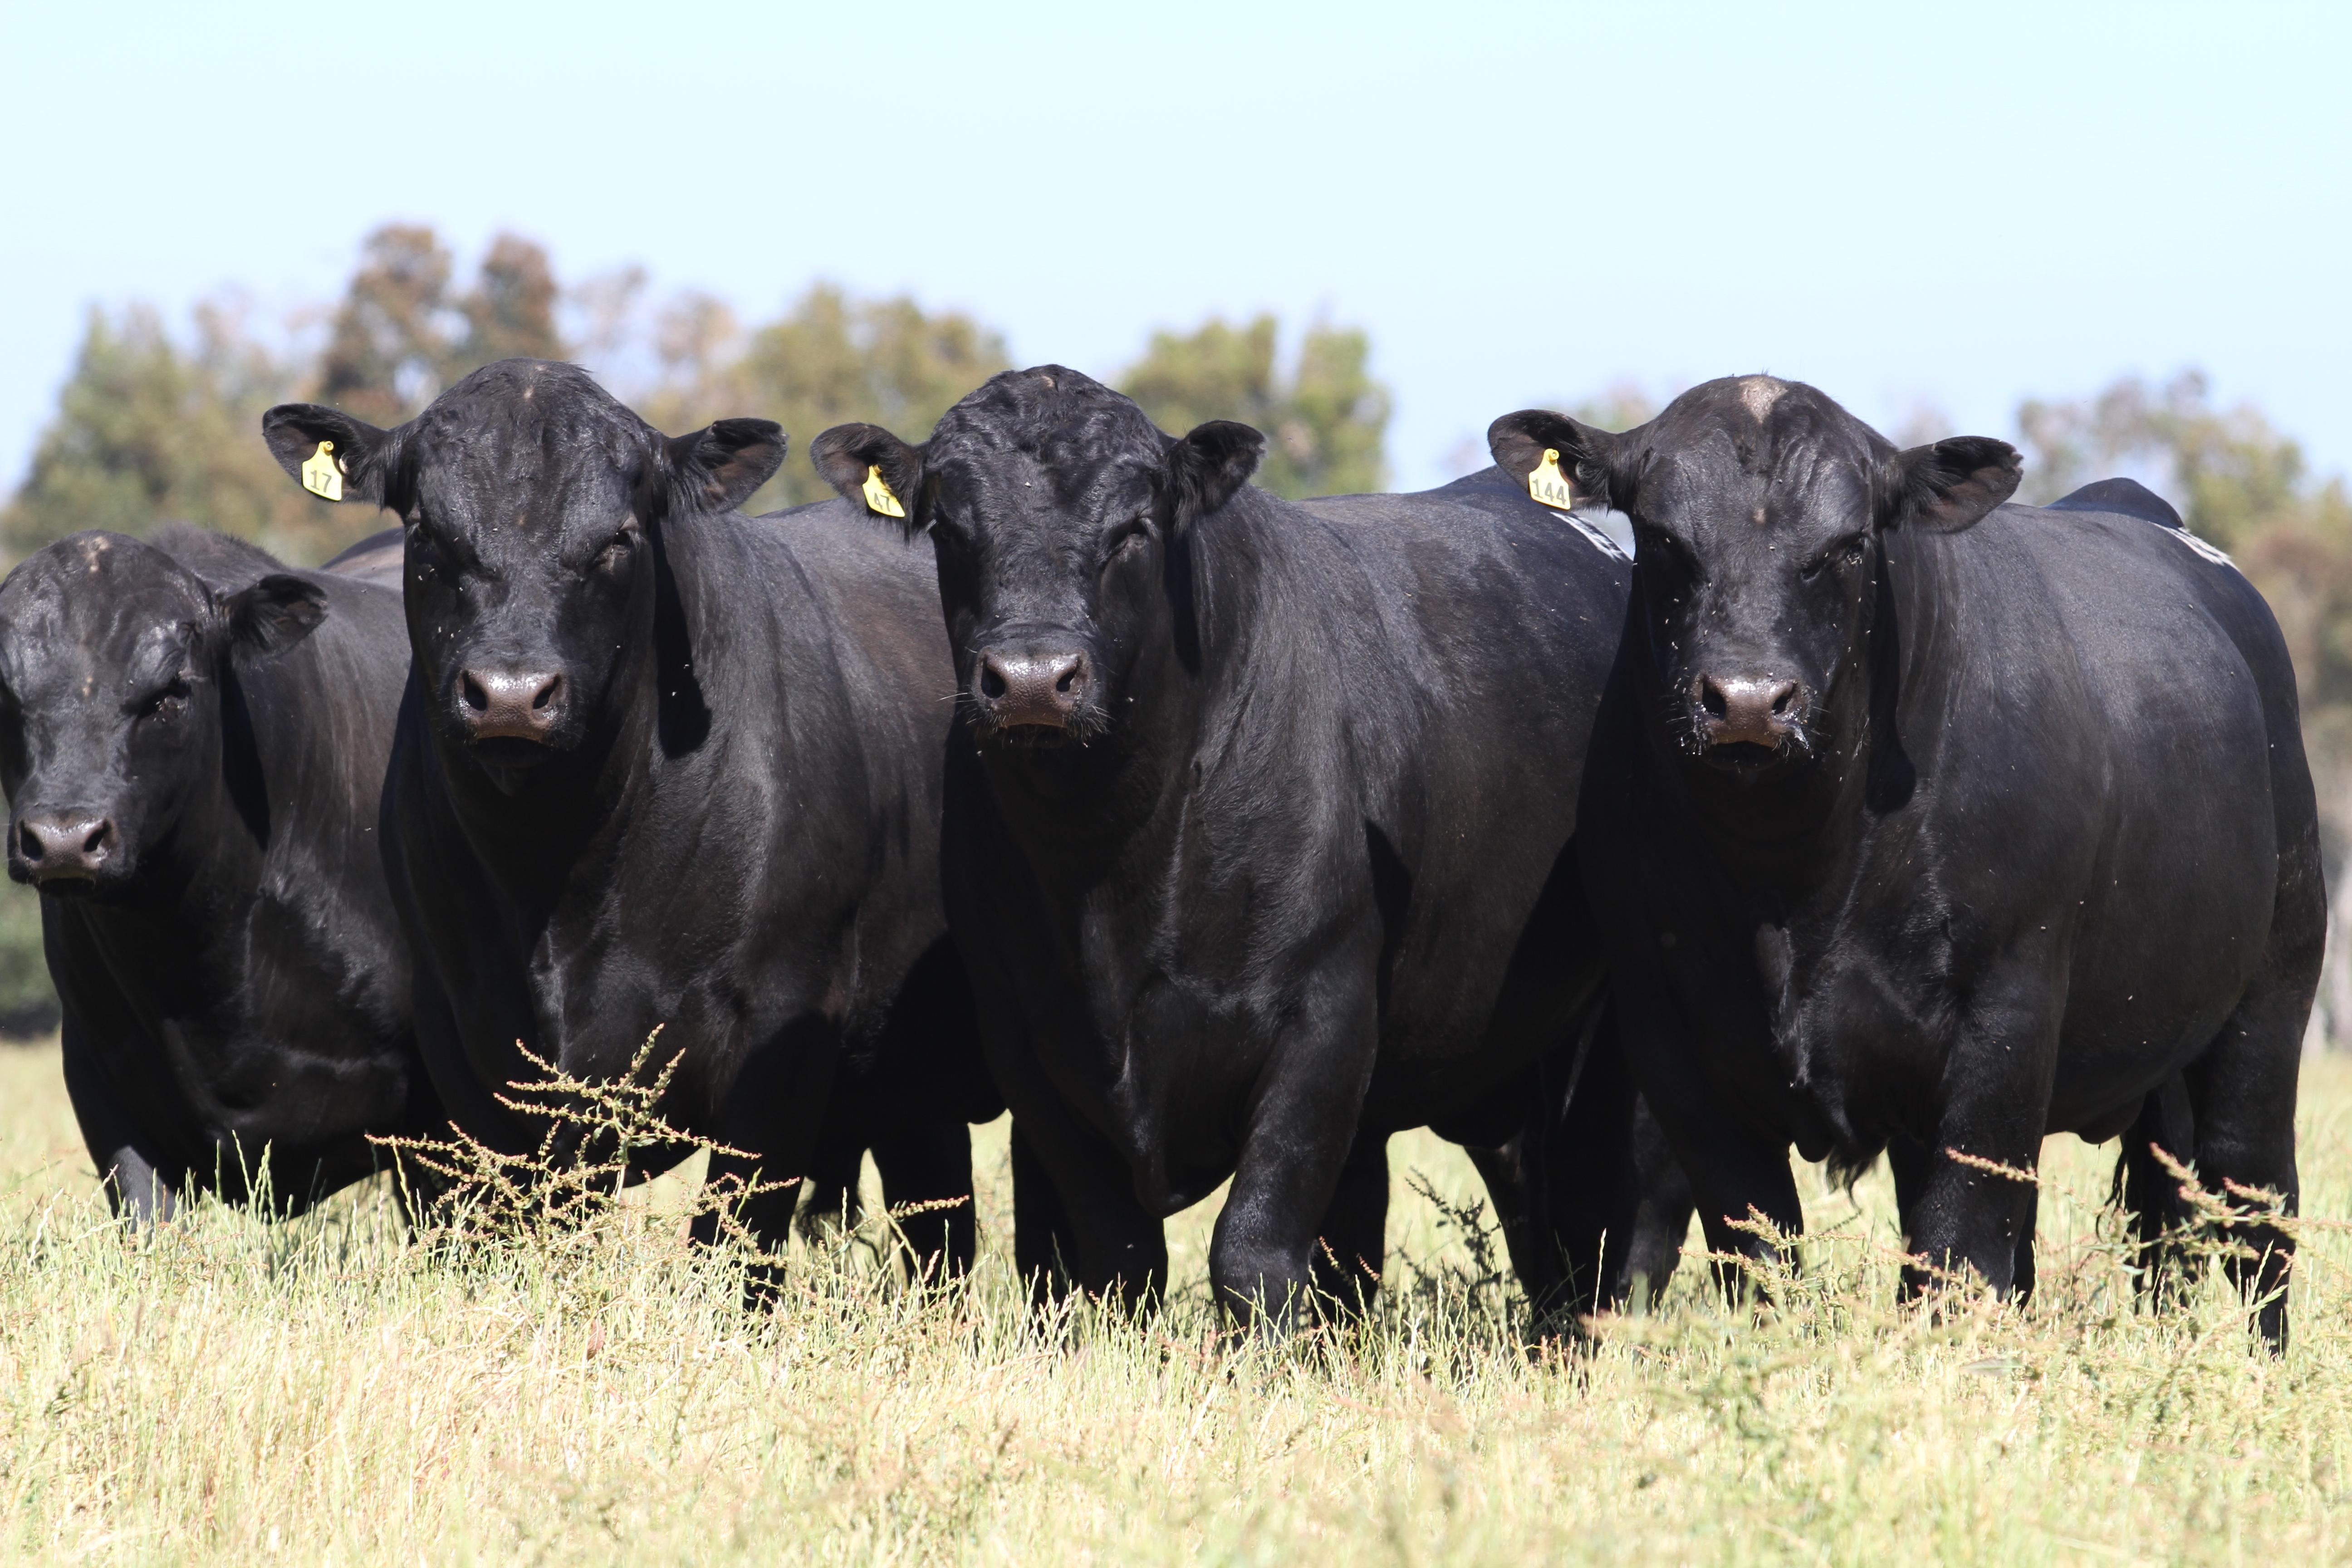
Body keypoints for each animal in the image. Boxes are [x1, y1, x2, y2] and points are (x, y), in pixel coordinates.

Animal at [260, 360, 998, 1270]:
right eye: (428, 532)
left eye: (617, 539)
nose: (511, 694)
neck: (553, 874)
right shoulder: (465, 1043)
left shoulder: (784, 1035)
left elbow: (729, 1252)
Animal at [811, 366, 1645, 1327]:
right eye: (948, 528)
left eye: (1133, 527)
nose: (1030, 680)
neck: (1110, 860)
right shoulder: (1028, 1045)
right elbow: (1118, 1257)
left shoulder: (1321, 1022)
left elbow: (1252, 1249)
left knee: (1591, 1219)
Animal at [1489, 376, 2320, 1348]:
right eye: (1659, 537)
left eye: (1847, 545)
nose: (1746, 701)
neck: (1789, 876)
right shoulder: (1671, 1038)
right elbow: (1761, 1250)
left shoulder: (2002, 1023)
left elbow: (1958, 1252)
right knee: (2159, 1225)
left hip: (2268, 1004)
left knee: (2251, 1206)